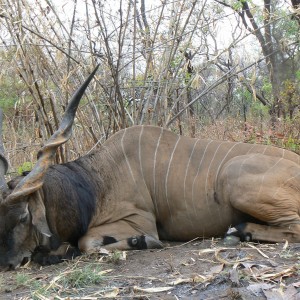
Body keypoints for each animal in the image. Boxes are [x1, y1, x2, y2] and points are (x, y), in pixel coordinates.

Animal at [0, 66, 300, 270]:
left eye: (24, 217)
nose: (9, 263)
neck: (95, 182)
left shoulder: (140, 221)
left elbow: (87, 242)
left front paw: (140, 243)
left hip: (233, 177)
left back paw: (240, 231)